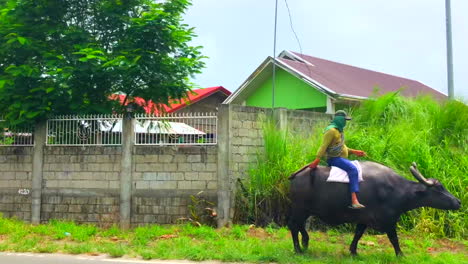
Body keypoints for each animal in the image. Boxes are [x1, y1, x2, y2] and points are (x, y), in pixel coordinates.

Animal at [288, 161, 460, 256]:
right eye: (439, 188)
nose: (458, 202)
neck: (398, 190)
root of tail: (296, 175)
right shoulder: (389, 221)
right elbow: (394, 239)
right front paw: (401, 254)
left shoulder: (363, 219)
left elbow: (357, 234)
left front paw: (353, 251)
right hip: (299, 209)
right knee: (293, 226)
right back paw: (298, 249)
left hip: (305, 210)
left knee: (299, 226)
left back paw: (305, 242)